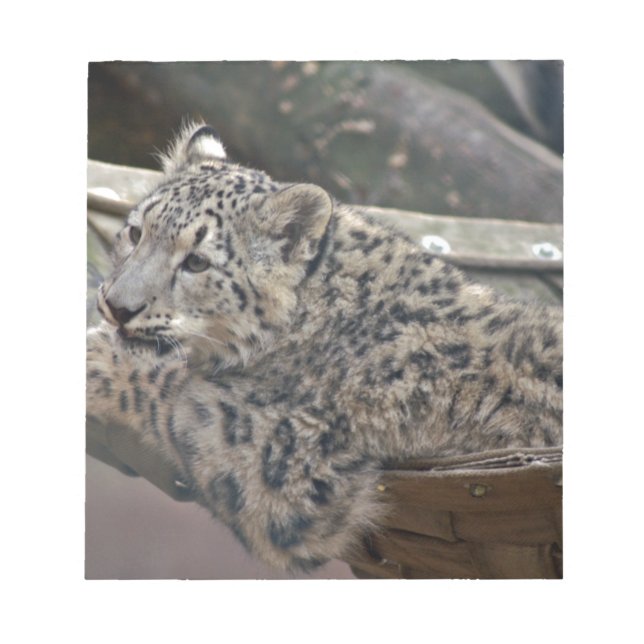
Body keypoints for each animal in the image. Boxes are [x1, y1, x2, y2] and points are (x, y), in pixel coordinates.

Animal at [86, 121, 563, 572]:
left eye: (197, 261)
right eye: (135, 232)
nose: (117, 307)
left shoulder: (282, 456)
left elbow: (175, 393)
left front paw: (99, 357)